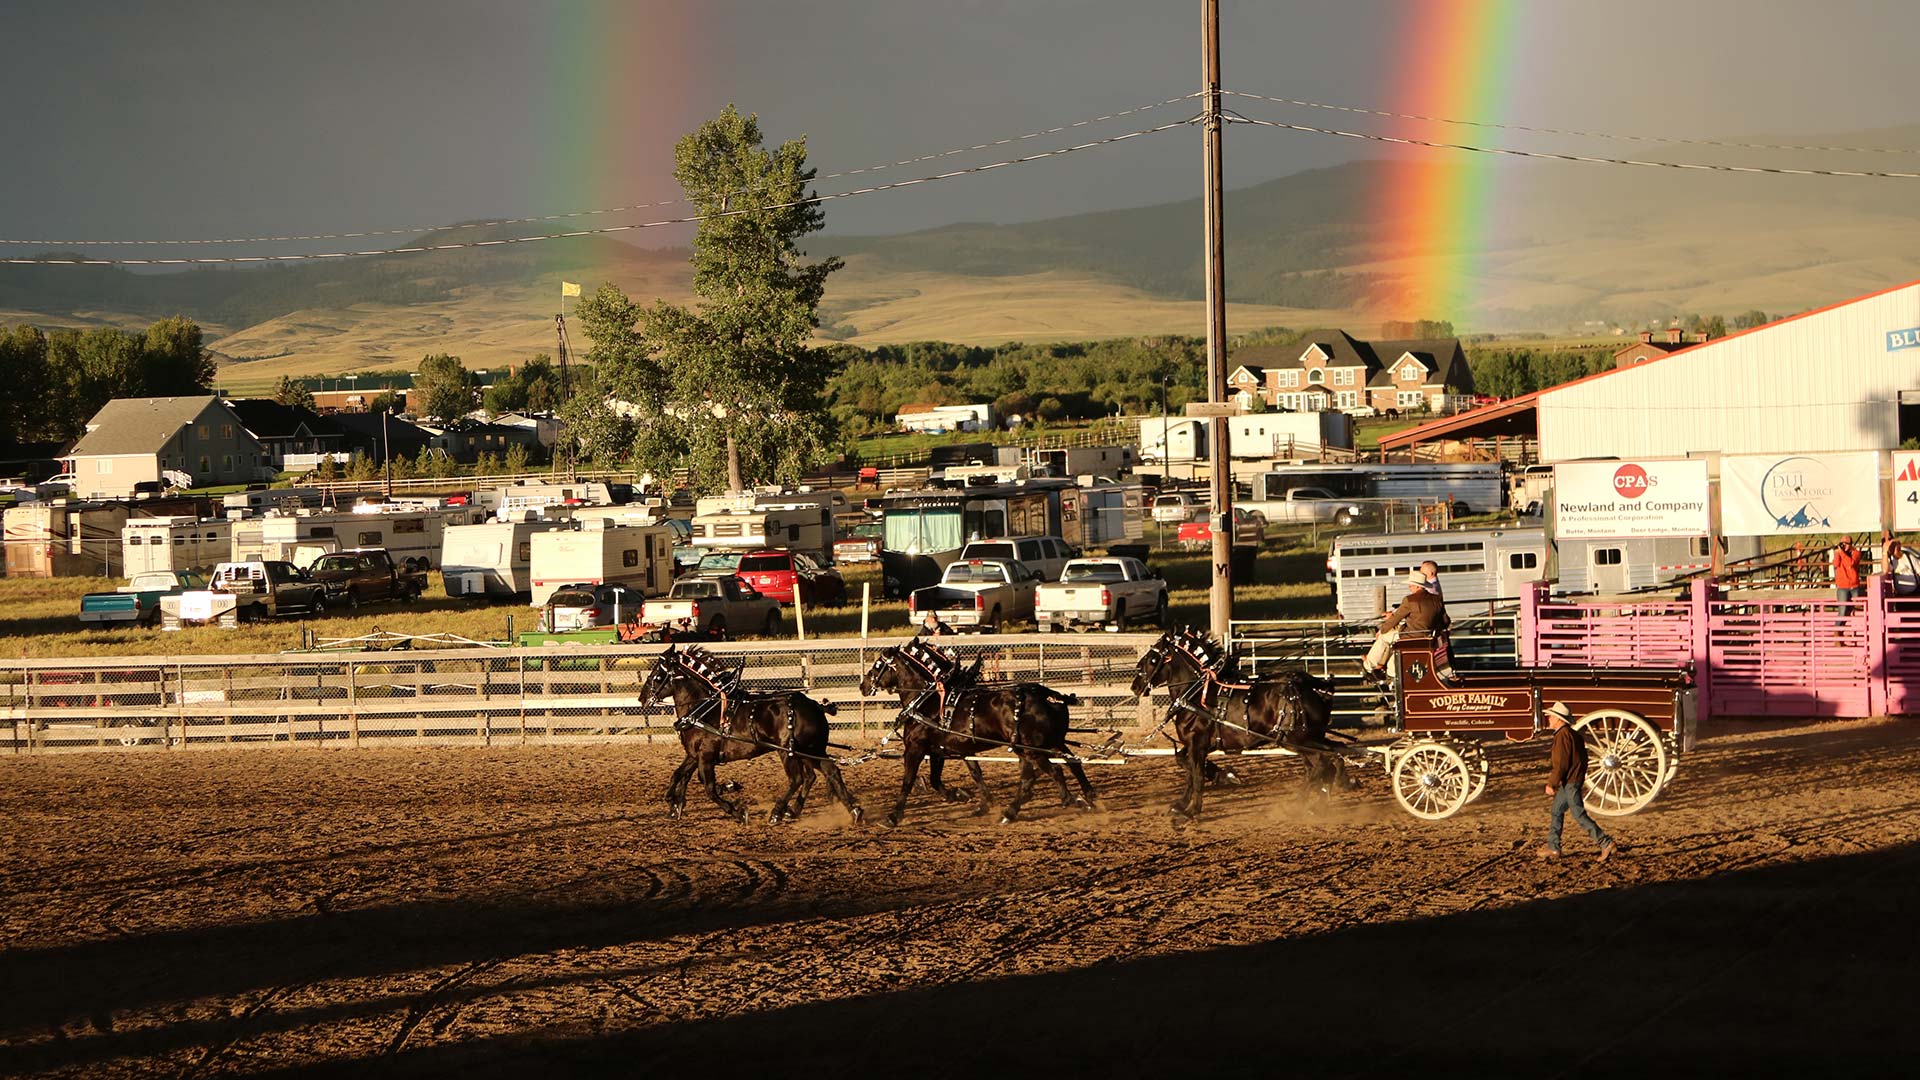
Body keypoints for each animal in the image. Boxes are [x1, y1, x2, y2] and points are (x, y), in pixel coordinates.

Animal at [637, 638, 864, 822]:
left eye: (657, 674)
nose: (641, 698)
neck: (704, 709)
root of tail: (815, 706)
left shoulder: (706, 756)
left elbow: (709, 789)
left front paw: (737, 810)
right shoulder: (695, 755)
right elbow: (679, 775)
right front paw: (674, 805)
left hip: (788, 752)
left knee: (798, 779)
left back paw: (778, 812)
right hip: (811, 750)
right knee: (828, 772)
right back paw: (852, 811)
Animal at [864, 638, 1105, 822]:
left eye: (877, 665)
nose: (863, 686)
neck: (928, 700)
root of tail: (1048, 694)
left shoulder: (915, 748)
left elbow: (908, 781)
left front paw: (893, 816)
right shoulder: (945, 750)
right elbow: (962, 776)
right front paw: (968, 798)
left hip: (1032, 749)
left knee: (1053, 771)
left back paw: (1070, 800)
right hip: (1047, 743)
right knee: (1068, 765)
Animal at [1128, 626, 1344, 818]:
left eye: (1153, 659)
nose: (1135, 686)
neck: (1196, 693)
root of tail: (1315, 687)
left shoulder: (1197, 741)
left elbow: (1196, 775)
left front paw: (1191, 811)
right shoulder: (1199, 744)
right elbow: (1186, 765)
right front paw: (1183, 803)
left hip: (1298, 741)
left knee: (1323, 762)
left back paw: (1299, 805)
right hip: (1307, 740)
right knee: (1329, 758)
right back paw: (1317, 801)